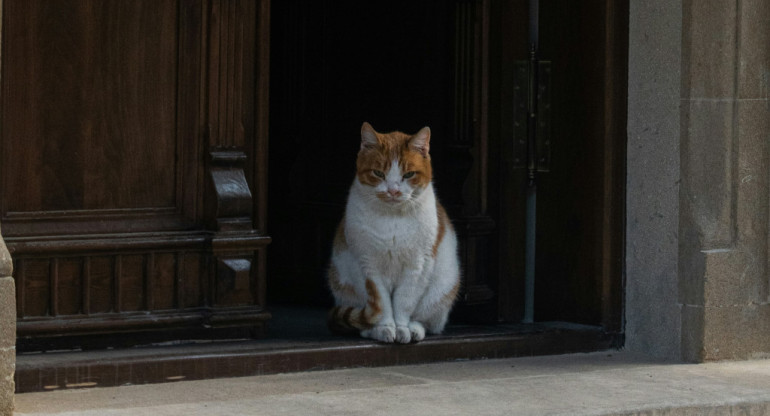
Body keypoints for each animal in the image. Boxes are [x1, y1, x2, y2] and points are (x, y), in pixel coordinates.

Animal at [326, 122, 460, 342]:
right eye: (378, 173)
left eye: (409, 175)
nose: (394, 191)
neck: (393, 220)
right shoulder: (368, 264)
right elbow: (382, 303)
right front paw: (385, 327)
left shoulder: (418, 265)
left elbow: (404, 302)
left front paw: (402, 328)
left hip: (443, 287)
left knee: (428, 320)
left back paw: (415, 328)